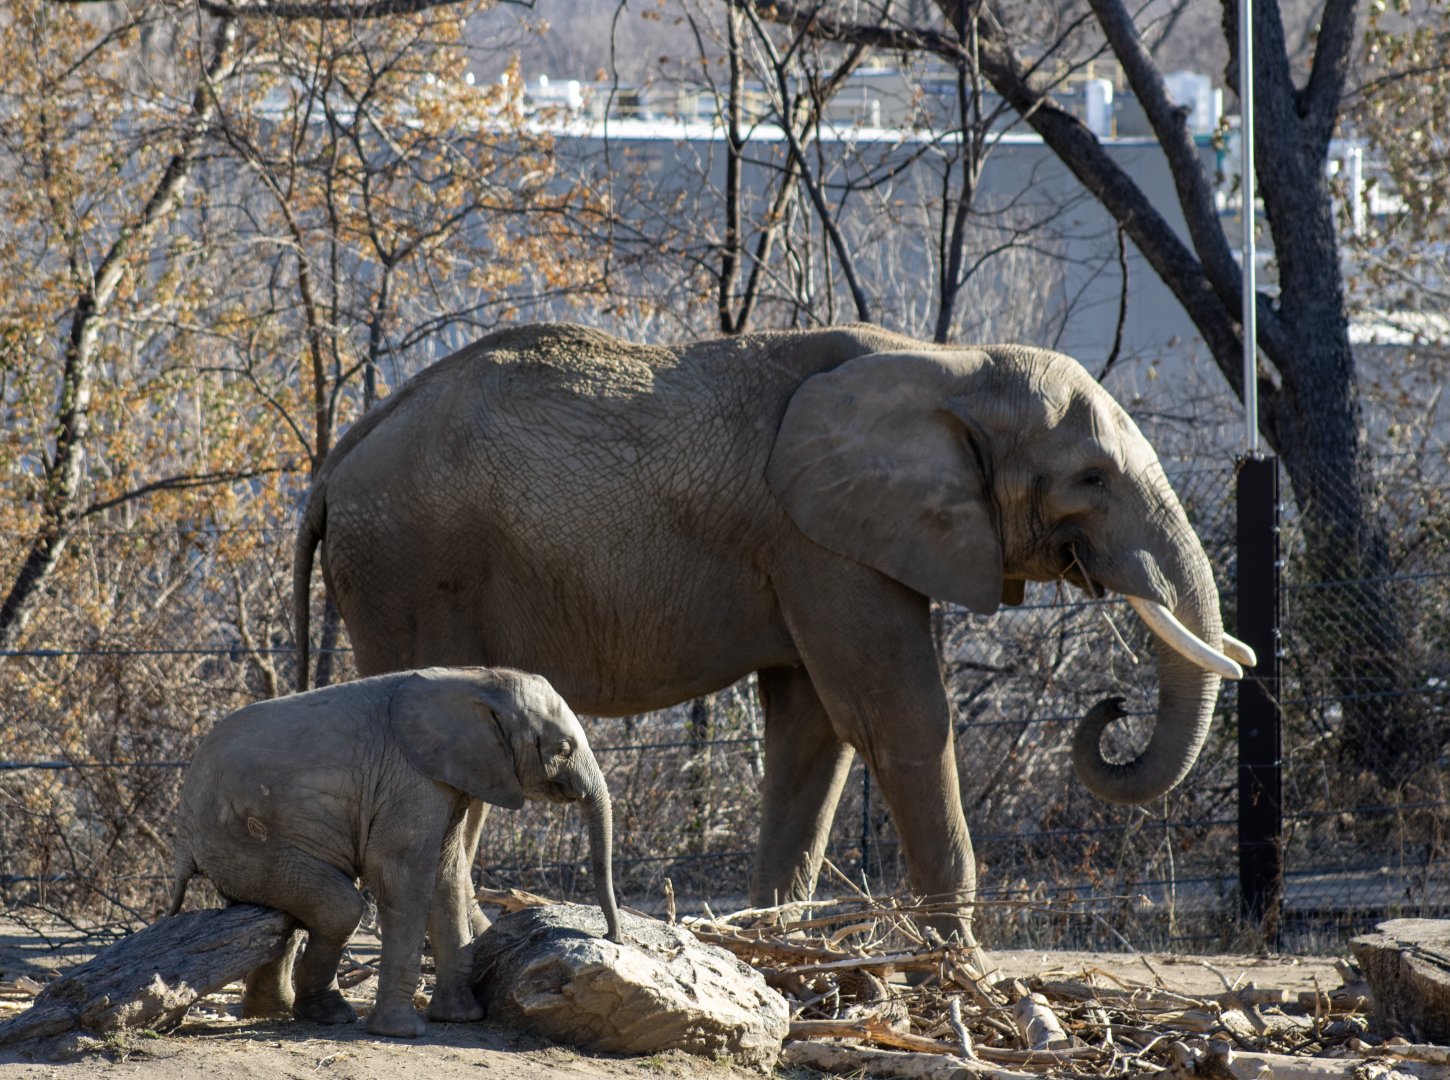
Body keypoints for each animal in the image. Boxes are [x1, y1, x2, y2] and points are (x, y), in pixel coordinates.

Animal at [167, 666, 621, 1038]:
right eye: (562, 749)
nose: (608, 937)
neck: (475, 678)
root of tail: (183, 838)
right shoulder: (408, 779)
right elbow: (404, 878)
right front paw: (403, 1032)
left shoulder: (445, 777)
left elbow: (446, 876)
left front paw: (462, 1018)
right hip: (244, 844)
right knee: (339, 908)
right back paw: (329, 1015)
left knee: (289, 917)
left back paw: (277, 1011)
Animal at [292, 322, 1254, 946]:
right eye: (1090, 477)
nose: (1114, 708)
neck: (952, 365)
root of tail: (335, 464)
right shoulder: (821, 540)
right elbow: (894, 716)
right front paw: (963, 970)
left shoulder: (817, 547)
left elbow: (814, 732)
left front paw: (775, 942)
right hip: (412, 572)